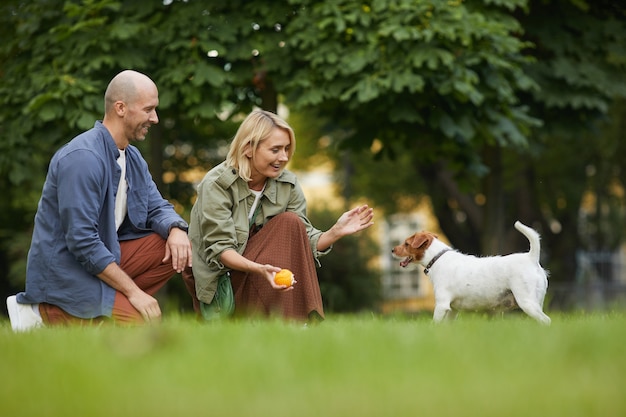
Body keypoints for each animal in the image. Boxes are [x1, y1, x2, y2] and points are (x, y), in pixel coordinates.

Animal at [392, 219, 548, 324]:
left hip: (527, 302)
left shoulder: (442, 305)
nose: (392, 250)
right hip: (536, 302)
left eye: (406, 244)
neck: (437, 258)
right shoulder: (452, 309)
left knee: (546, 320)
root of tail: (531, 257)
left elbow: (435, 323)